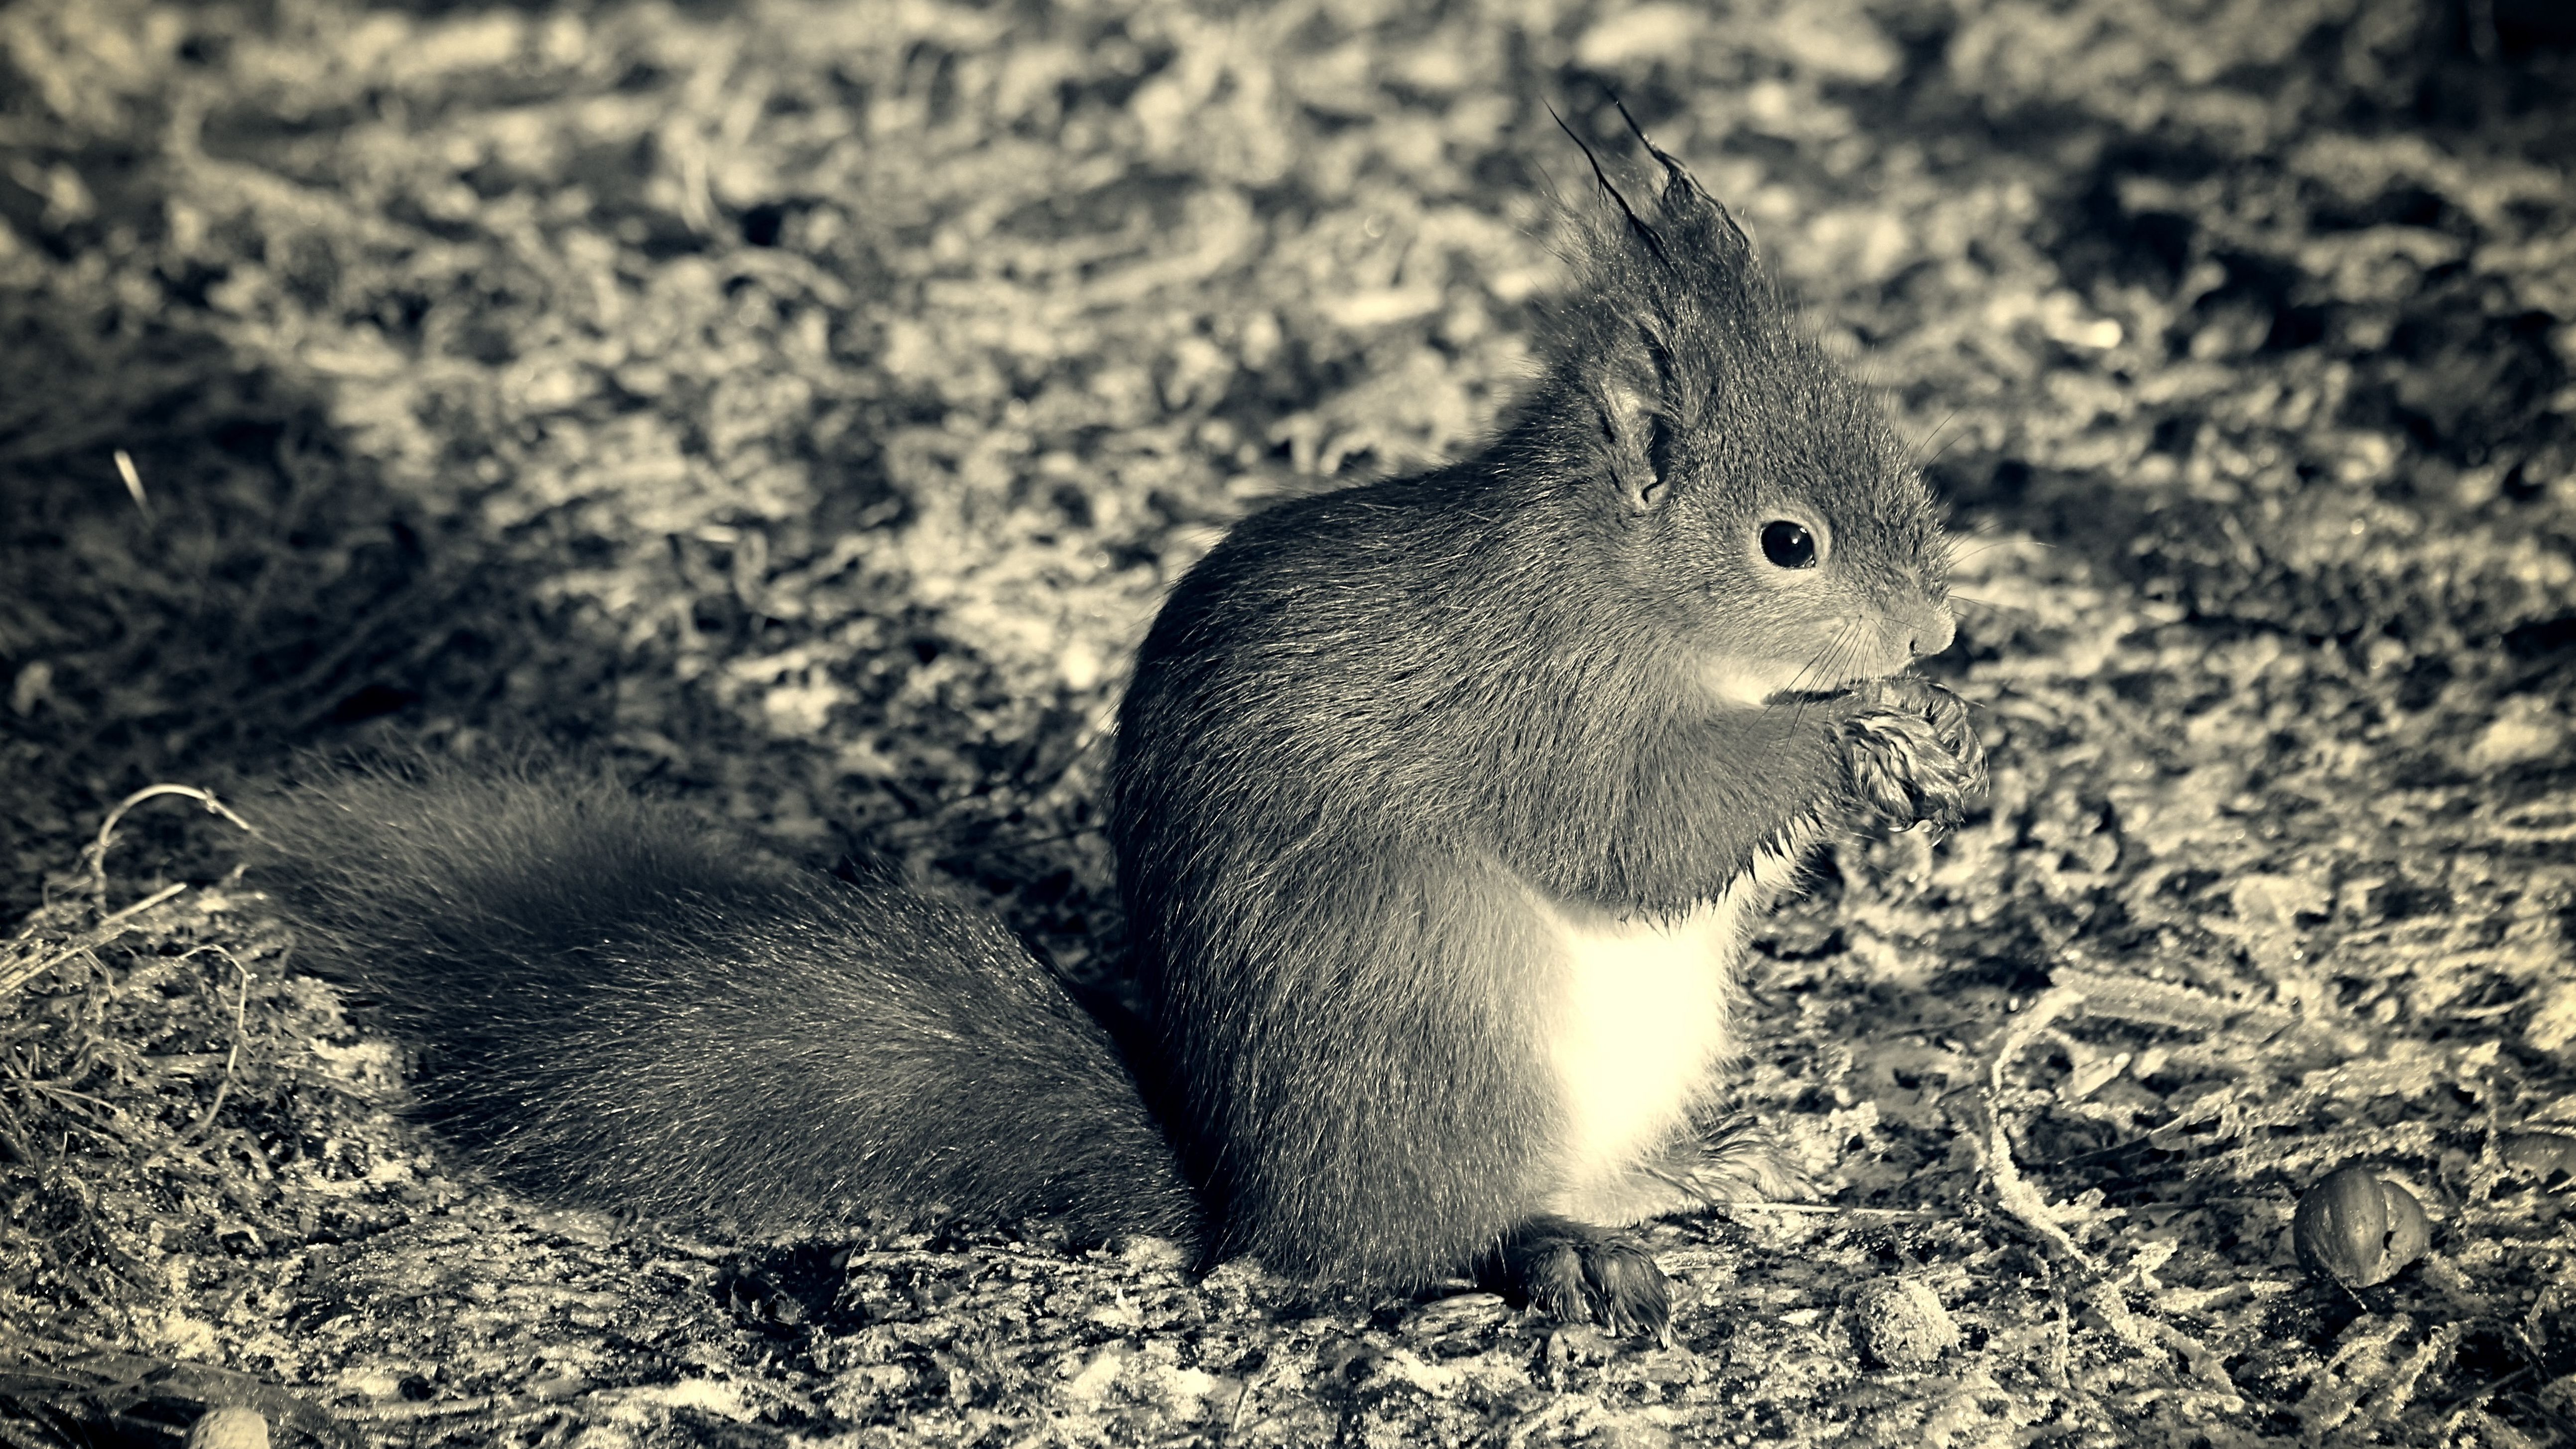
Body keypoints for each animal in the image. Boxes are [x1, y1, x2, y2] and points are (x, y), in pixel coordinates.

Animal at [252, 116, 1984, 1339]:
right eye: (1784, 544)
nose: (1933, 629)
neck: (1620, 589)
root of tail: (1248, 1203)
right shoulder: (1533, 710)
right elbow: (1633, 835)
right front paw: (1844, 743)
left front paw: (1936, 728)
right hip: (1446, 1068)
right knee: (1409, 1243)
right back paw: (1549, 1245)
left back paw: (1711, 1168)